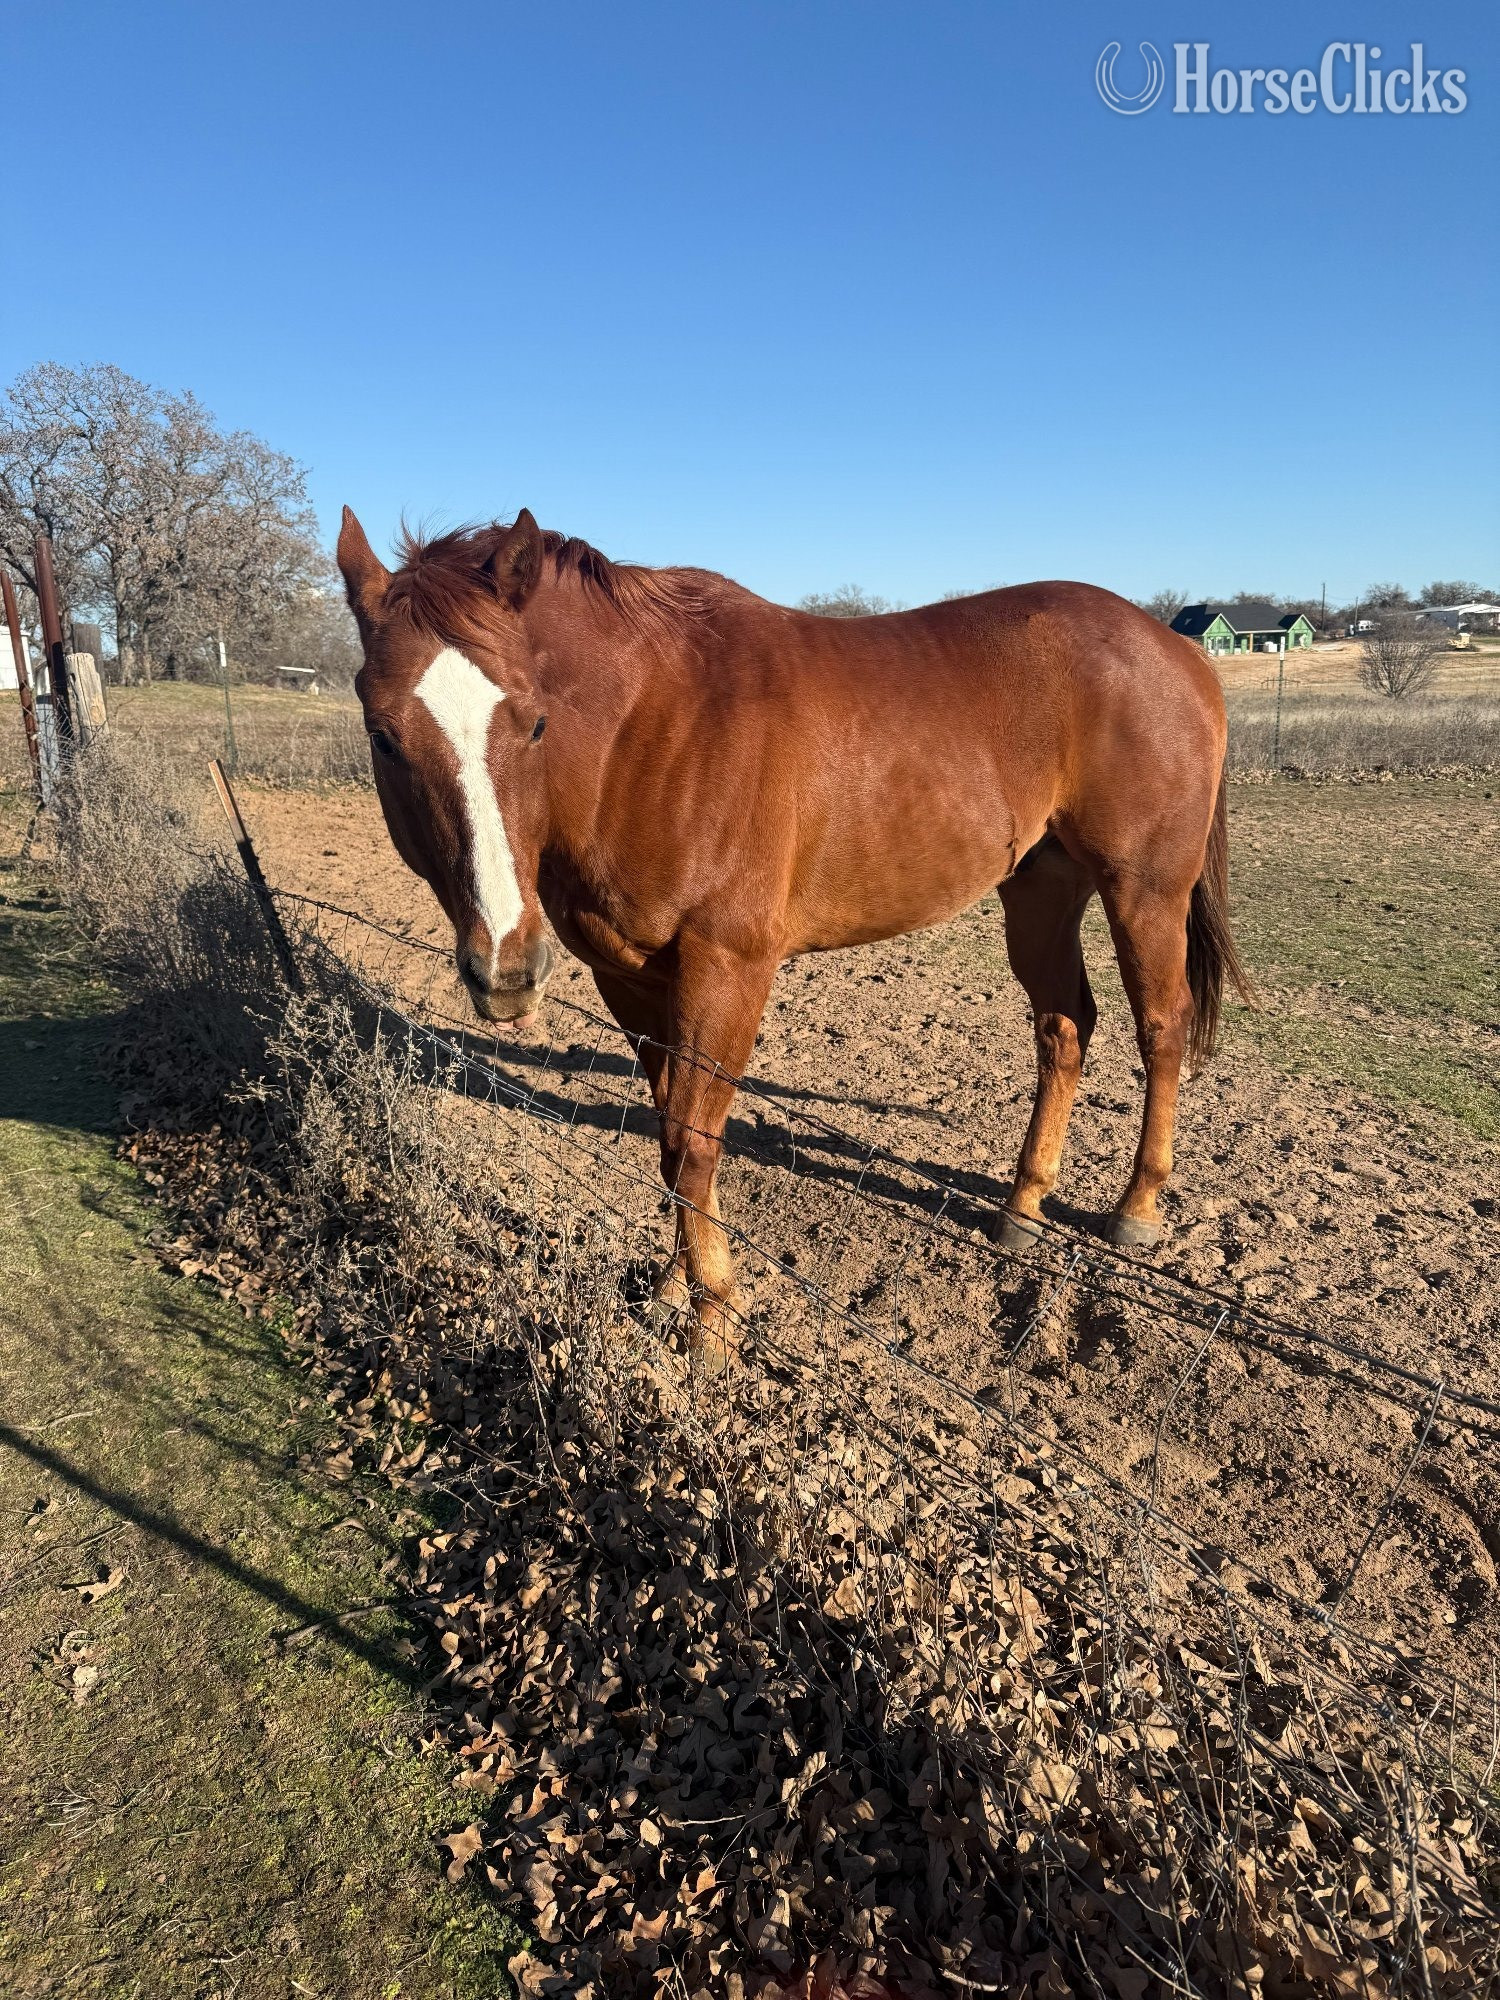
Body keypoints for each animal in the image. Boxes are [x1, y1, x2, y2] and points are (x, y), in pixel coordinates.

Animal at [336, 507, 1250, 1363]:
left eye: (533, 724)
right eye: (384, 736)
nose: (507, 967)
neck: (652, 727)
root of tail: (1177, 650)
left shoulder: (728, 967)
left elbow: (693, 1142)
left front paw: (716, 1317)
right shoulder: (628, 977)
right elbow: (668, 1140)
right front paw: (673, 1290)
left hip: (1146, 891)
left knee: (1160, 1029)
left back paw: (1136, 1208)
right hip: (1038, 891)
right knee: (1065, 1027)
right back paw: (1021, 1206)